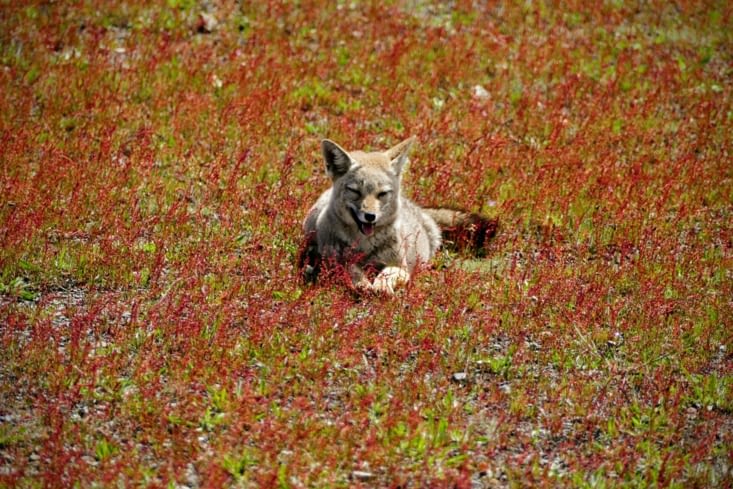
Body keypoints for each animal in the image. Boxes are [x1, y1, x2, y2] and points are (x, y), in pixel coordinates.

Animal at [298, 136, 497, 294]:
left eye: (382, 194)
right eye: (355, 191)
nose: (370, 216)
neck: (365, 245)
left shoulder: (400, 267)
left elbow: (387, 274)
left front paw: (381, 287)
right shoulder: (335, 263)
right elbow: (352, 270)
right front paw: (363, 284)